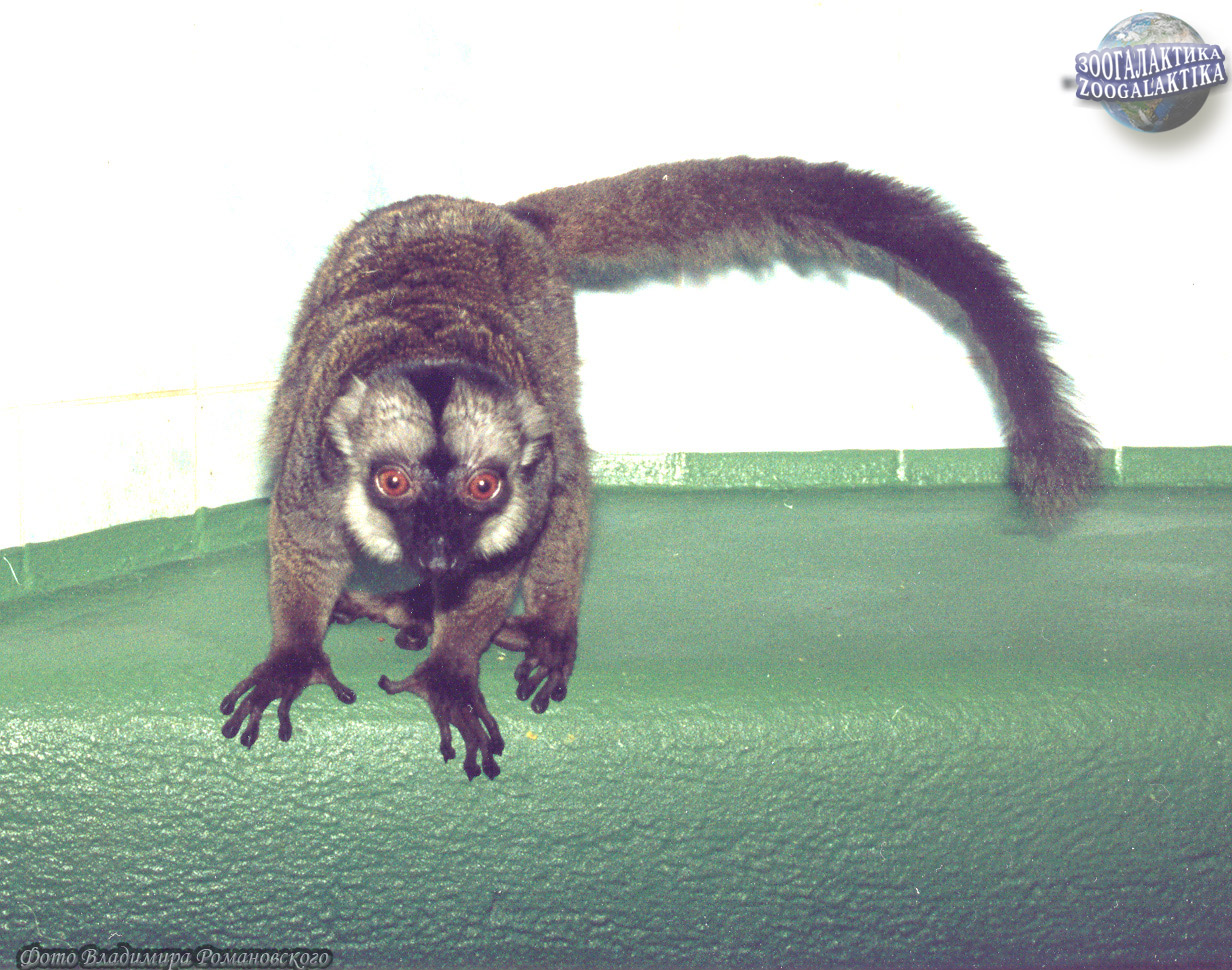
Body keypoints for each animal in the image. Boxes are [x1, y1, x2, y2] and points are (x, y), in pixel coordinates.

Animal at [220, 156, 1100, 779]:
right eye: (394, 483)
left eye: (482, 486)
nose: (436, 544)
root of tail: (493, 213)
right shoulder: (314, 469)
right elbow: (303, 541)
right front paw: (296, 655)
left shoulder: (520, 487)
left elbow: (506, 556)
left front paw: (450, 667)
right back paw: (411, 602)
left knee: (570, 467)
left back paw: (534, 623)